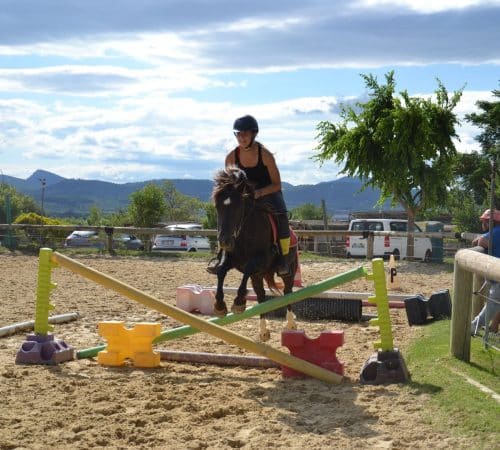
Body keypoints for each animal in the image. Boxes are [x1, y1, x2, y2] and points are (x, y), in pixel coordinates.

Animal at [211, 166, 296, 342]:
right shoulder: (230, 260)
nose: (225, 241)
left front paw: (238, 303)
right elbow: (221, 271)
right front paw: (220, 306)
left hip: (289, 271)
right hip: (258, 276)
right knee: (261, 296)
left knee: (288, 292)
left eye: (238, 207)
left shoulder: (261, 260)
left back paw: (291, 324)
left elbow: (248, 267)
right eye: (217, 206)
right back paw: (263, 332)